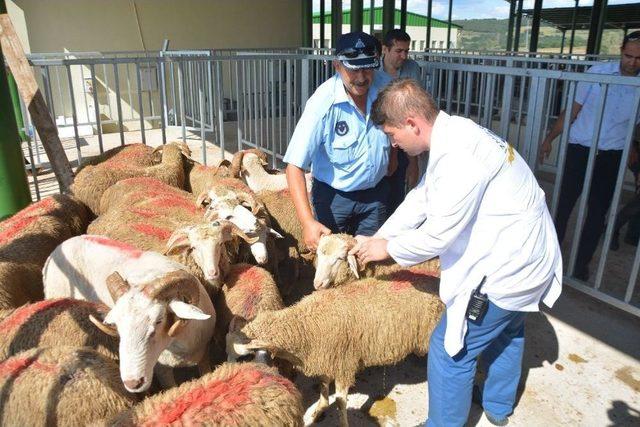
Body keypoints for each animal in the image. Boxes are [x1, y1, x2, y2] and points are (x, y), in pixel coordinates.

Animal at [230, 270, 444, 427]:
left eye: (246, 356)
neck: (305, 325)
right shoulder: (327, 356)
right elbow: (324, 385)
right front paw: (319, 410)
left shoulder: (343, 363)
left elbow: (341, 402)